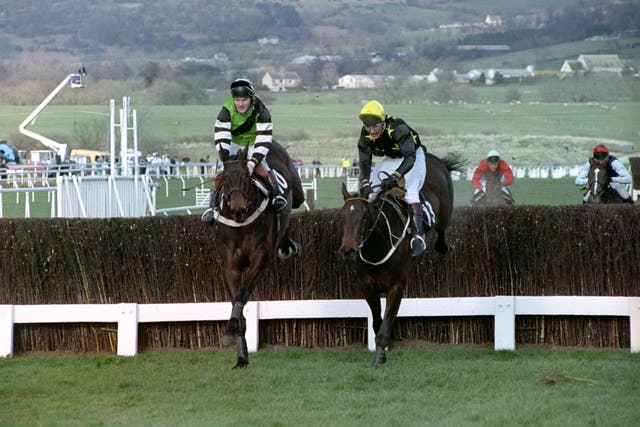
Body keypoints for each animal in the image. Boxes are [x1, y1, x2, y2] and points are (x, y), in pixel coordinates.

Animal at [211, 142, 304, 370]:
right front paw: (241, 355)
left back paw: (287, 244)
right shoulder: (230, 265)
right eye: (225, 179)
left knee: (292, 206)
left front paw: (230, 329)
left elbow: (242, 293)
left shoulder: (260, 257)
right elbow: (235, 299)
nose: (237, 208)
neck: (240, 225)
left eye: (247, 177)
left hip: (297, 192)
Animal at [340, 151, 464, 368]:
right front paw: (382, 353)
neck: (377, 248)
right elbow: (377, 323)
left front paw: (378, 358)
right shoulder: (368, 288)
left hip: (443, 205)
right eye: (342, 216)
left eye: (364, 217)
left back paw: (439, 245)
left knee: (440, 230)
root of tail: (434, 158)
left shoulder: (396, 287)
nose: (348, 250)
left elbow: (385, 325)